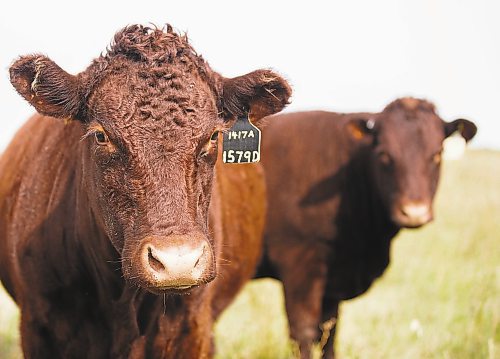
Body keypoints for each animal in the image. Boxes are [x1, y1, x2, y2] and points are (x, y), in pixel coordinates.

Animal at [256, 97, 478, 358]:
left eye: (437, 154)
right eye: (385, 155)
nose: (414, 211)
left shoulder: (332, 283)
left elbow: (329, 333)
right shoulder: (299, 264)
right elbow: (303, 333)